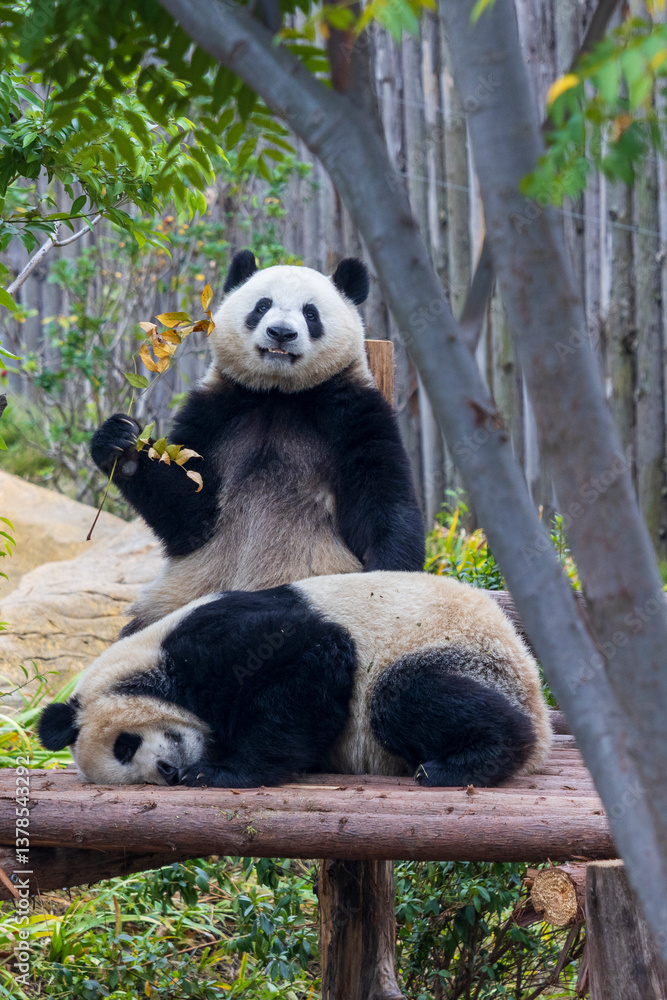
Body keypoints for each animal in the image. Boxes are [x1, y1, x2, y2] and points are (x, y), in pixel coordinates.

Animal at [38, 572, 552, 789]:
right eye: (130, 769)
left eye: (124, 745)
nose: (167, 771)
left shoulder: (214, 640)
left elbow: (309, 659)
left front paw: (219, 773)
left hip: (464, 651)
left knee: (403, 695)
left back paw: (459, 766)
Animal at [91, 253, 424, 634]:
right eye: (262, 305)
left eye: (311, 313)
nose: (281, 332)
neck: (279, 394)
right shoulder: (215, 413)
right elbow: (190, 515)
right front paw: (122, 444)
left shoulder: (352, 413)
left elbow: (383, 501)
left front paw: (389, 583)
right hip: (174, 598)